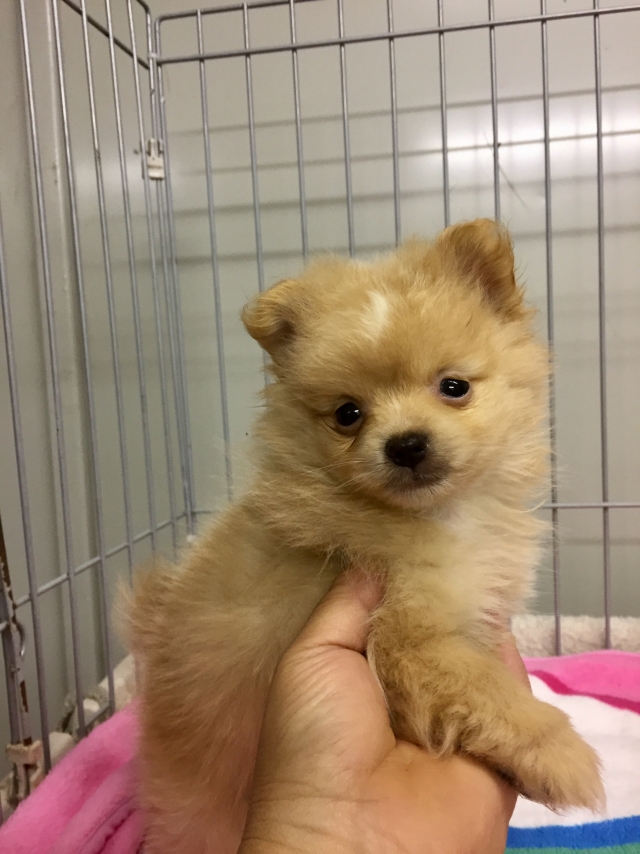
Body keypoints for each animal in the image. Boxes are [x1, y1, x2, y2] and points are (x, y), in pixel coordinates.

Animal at [129, 219, 604, 854]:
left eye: (455, 386)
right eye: (348, 414)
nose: (406, 444)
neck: (440, 516)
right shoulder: (413, 637)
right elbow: (492, 694)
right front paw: (562, 757)